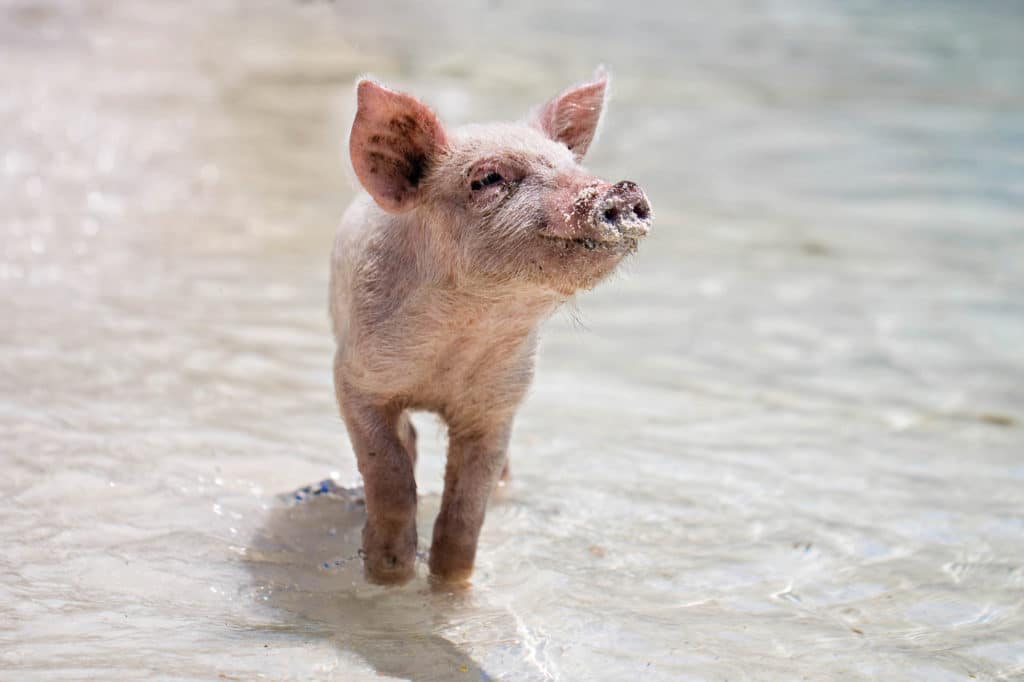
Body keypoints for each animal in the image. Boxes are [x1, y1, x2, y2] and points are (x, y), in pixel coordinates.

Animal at [331, 69, 651, 581]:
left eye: (571, 163)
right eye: (488, 178)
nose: (622, 190)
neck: (462, 337)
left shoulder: (499, 403)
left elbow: (467, 508)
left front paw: (448, 582)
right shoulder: (354, 378)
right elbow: (389, 473)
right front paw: (389, 572)